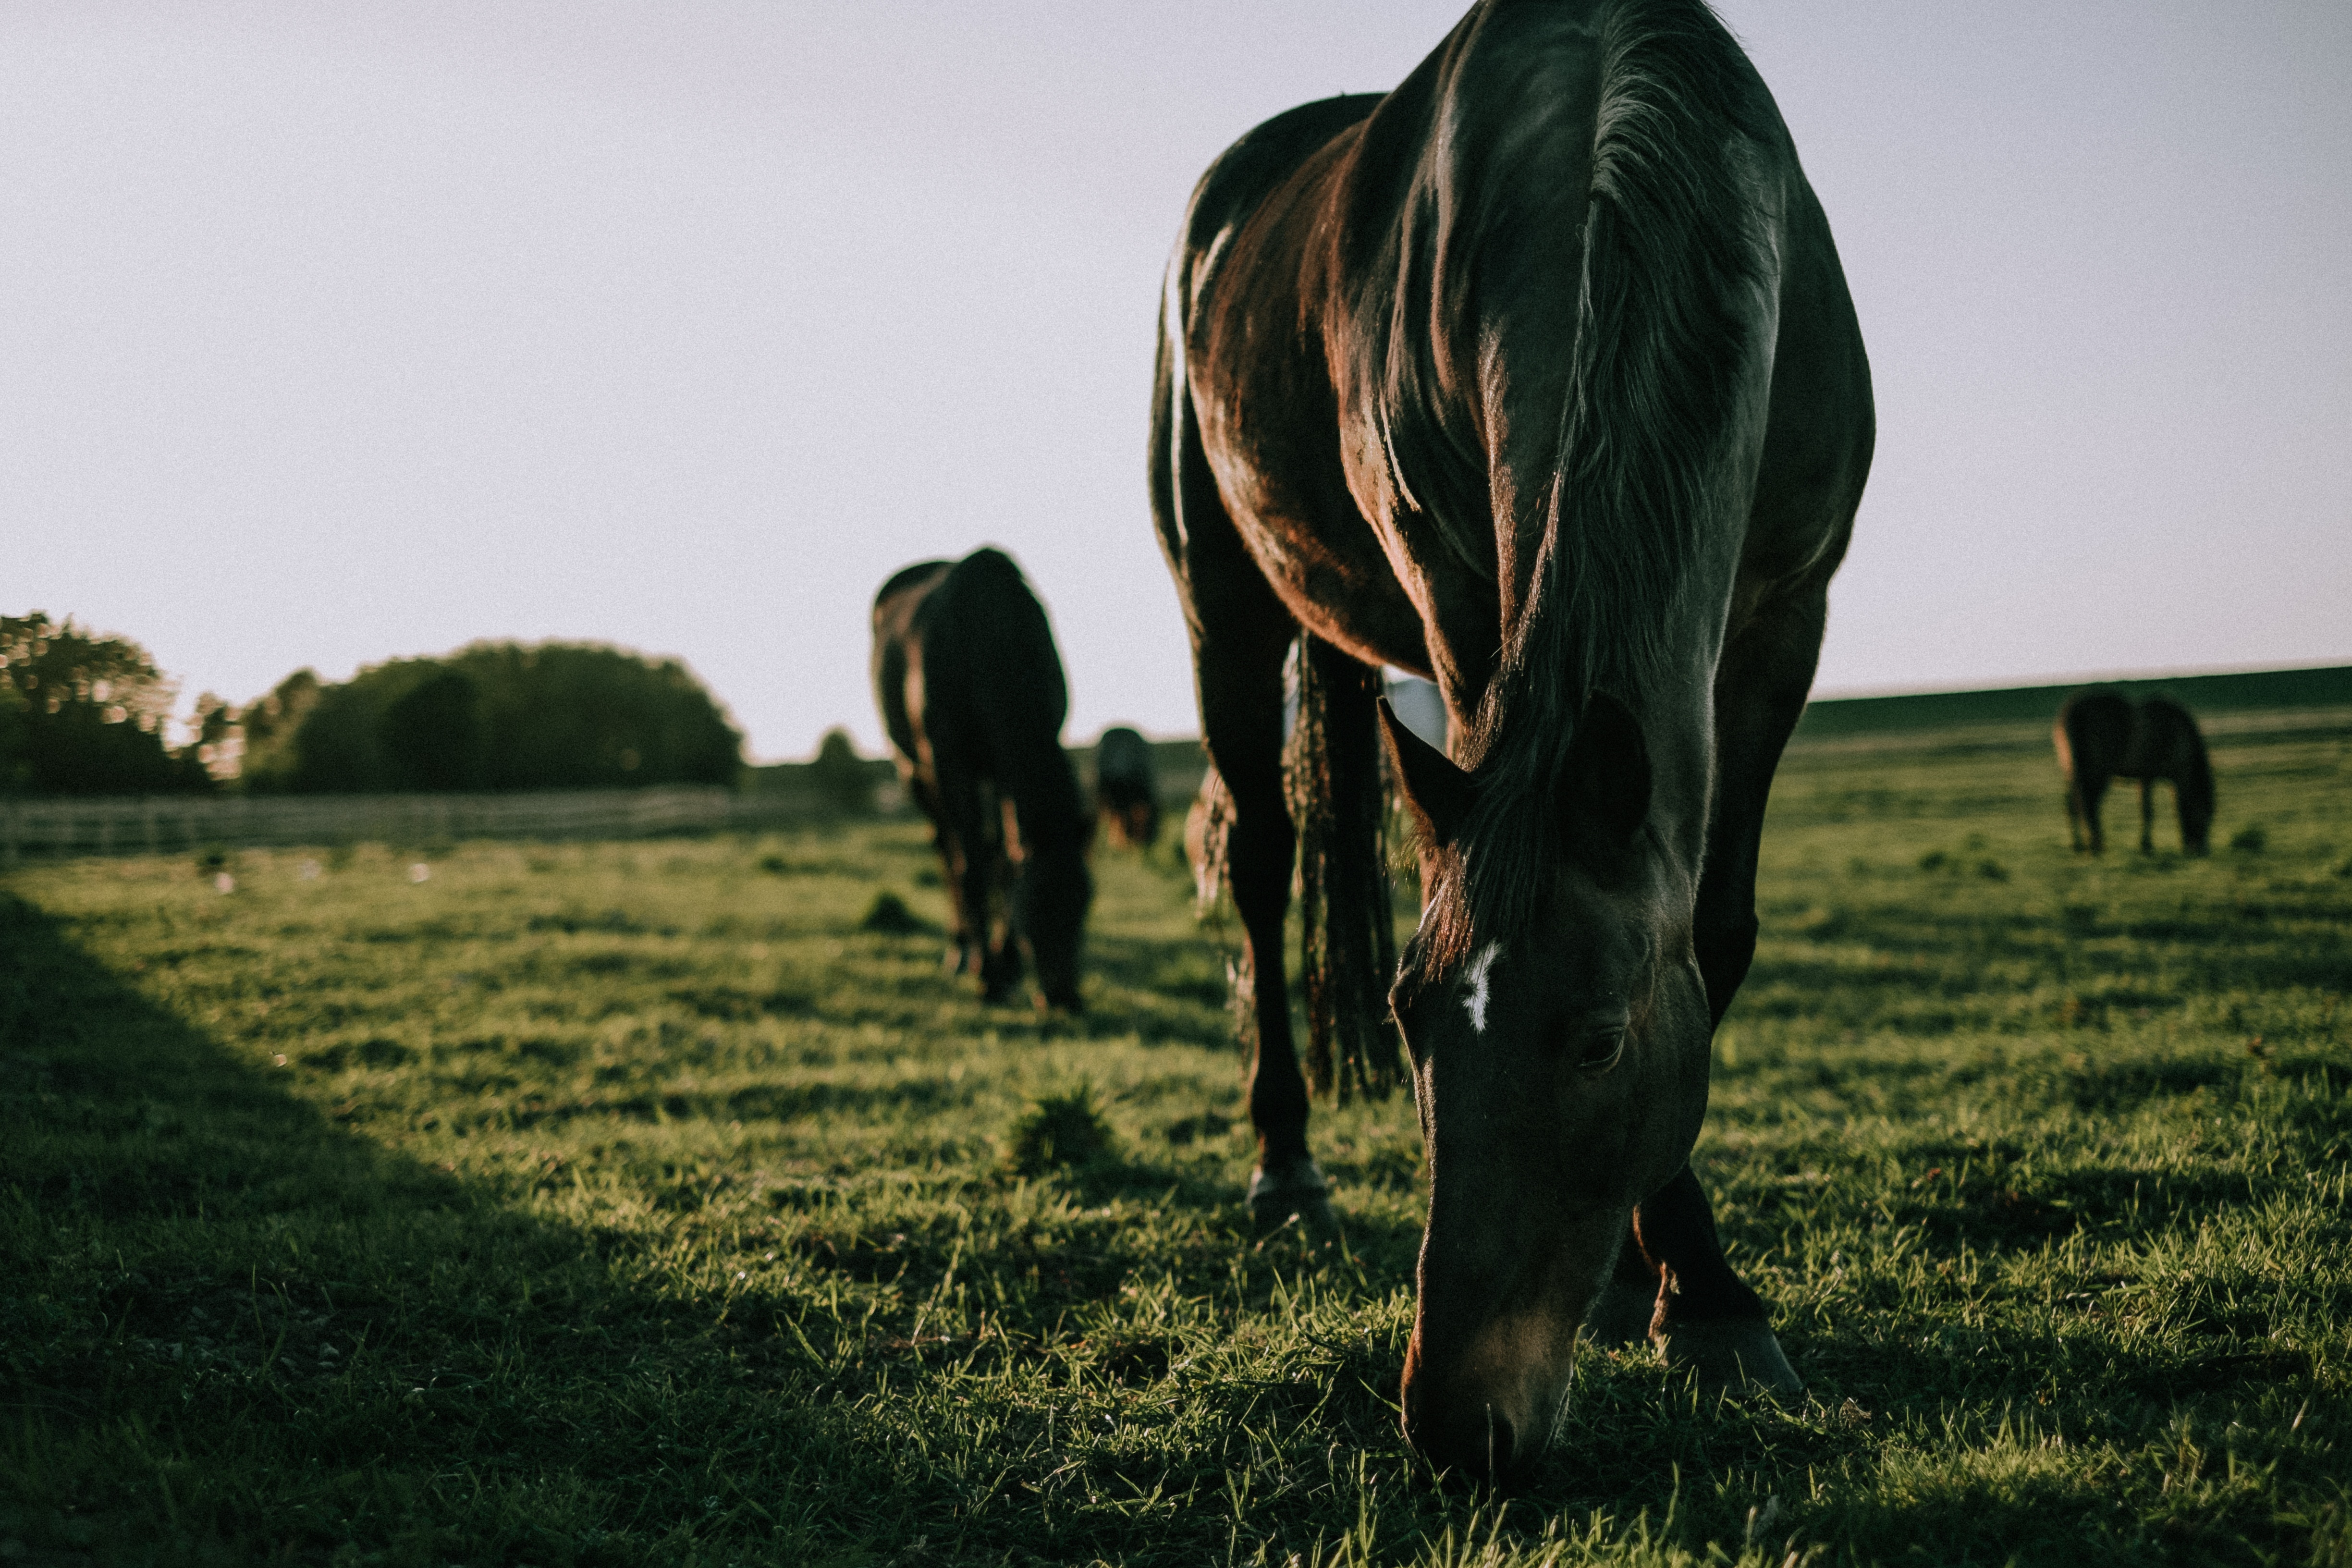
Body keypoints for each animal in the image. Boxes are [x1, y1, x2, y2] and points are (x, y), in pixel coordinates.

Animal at [875, 545, 1091, 1011]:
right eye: (1034, 907)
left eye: (1086, 901)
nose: (1064, 998)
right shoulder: (949, 764)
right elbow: (971, 865)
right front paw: (988, 976)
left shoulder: (1003, 767)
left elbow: (1005, 861)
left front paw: (1006, 966)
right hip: (915, 771)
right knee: (947, 850)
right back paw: (960, 952)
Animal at [1152, 0, 1872, 1485]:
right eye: (1411, 1021)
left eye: (1596, 1042)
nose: (1457, 1426)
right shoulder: (1462, 594)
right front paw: (1690, 1292)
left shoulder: (1787, 617)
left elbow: (1714, 932)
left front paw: (1692, 1294)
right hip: (1223, 604)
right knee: (1258, 865)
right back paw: (1285, 1169)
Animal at [2051, 691, 2211, 851]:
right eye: (2202, 818)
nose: (2201, 850)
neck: (2178, 735)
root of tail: (2072, 712)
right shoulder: (2150, 776)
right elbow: (2149, 810)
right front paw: (2147, 846)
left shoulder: (2144, 778)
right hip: (2096, 774)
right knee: (2088, 804)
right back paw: (2095, 844)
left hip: (2075, 773)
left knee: (2075, 805)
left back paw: (2080, 845)